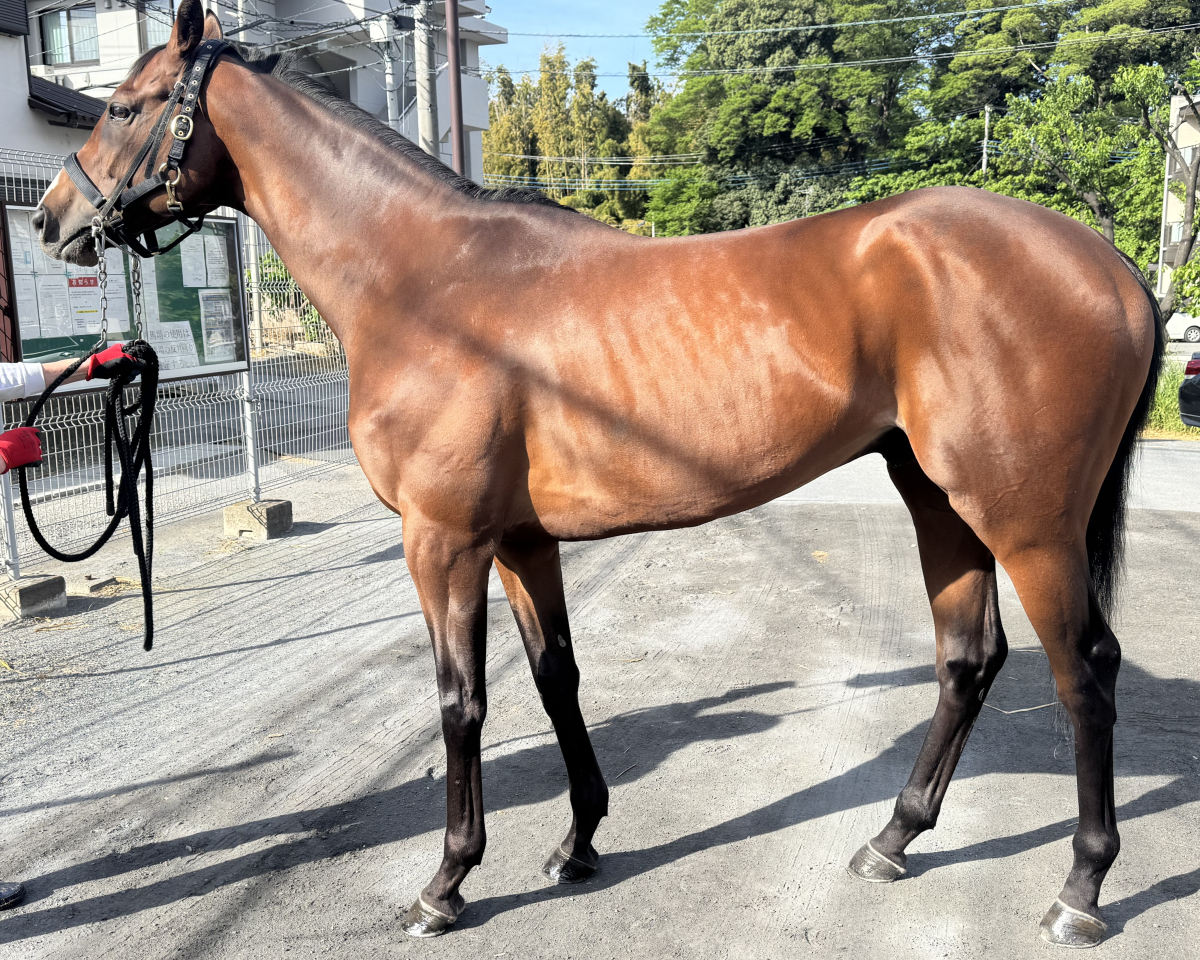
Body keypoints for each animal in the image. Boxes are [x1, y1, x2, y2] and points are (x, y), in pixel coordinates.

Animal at [31, 1, 1162, 948]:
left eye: (125, 106)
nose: (51, 218)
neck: (421, 281)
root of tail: (1108, 263)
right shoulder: (522, 543)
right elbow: (556, 680)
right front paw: (578, 842)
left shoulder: (443, 541)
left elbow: (461, 701)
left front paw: (447, 883)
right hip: (939, 500)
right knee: (968, 659)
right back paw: (891, 840)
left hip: (1026, 522)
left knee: (1084, 672)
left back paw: (1080, 889)